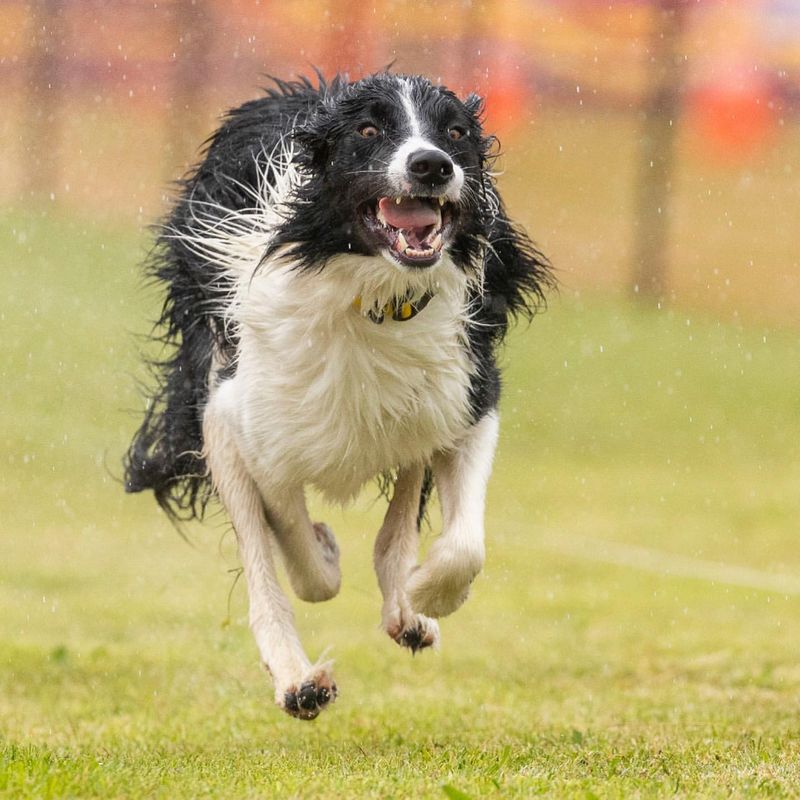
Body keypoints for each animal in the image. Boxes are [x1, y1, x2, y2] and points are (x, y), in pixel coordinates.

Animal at [125, 73, 552, 720]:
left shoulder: (469, 395)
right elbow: (298, 557)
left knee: (405, 492)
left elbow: (463, 543)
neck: (375, 296)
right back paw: (298, 680)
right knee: (267, 567)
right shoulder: (240, 422)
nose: (432, 165)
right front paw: (325, 556)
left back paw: (405, 606)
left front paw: (427, 593)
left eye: (456, 132)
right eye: (368, 130)